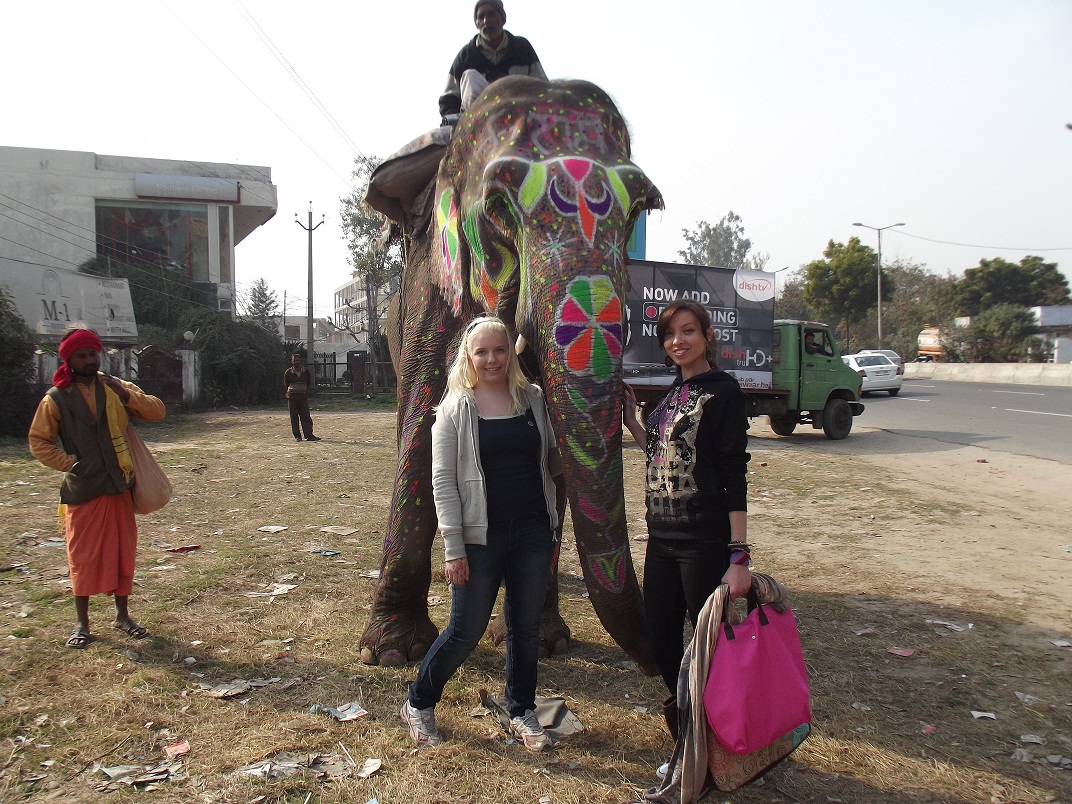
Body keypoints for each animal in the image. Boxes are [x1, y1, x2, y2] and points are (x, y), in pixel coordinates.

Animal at [358, 76, 663, 675]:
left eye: (641, 209)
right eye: (498, 208)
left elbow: (555, 455)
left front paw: (544, 642)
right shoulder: (433, 291)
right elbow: (422, 432)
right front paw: (392, 651)